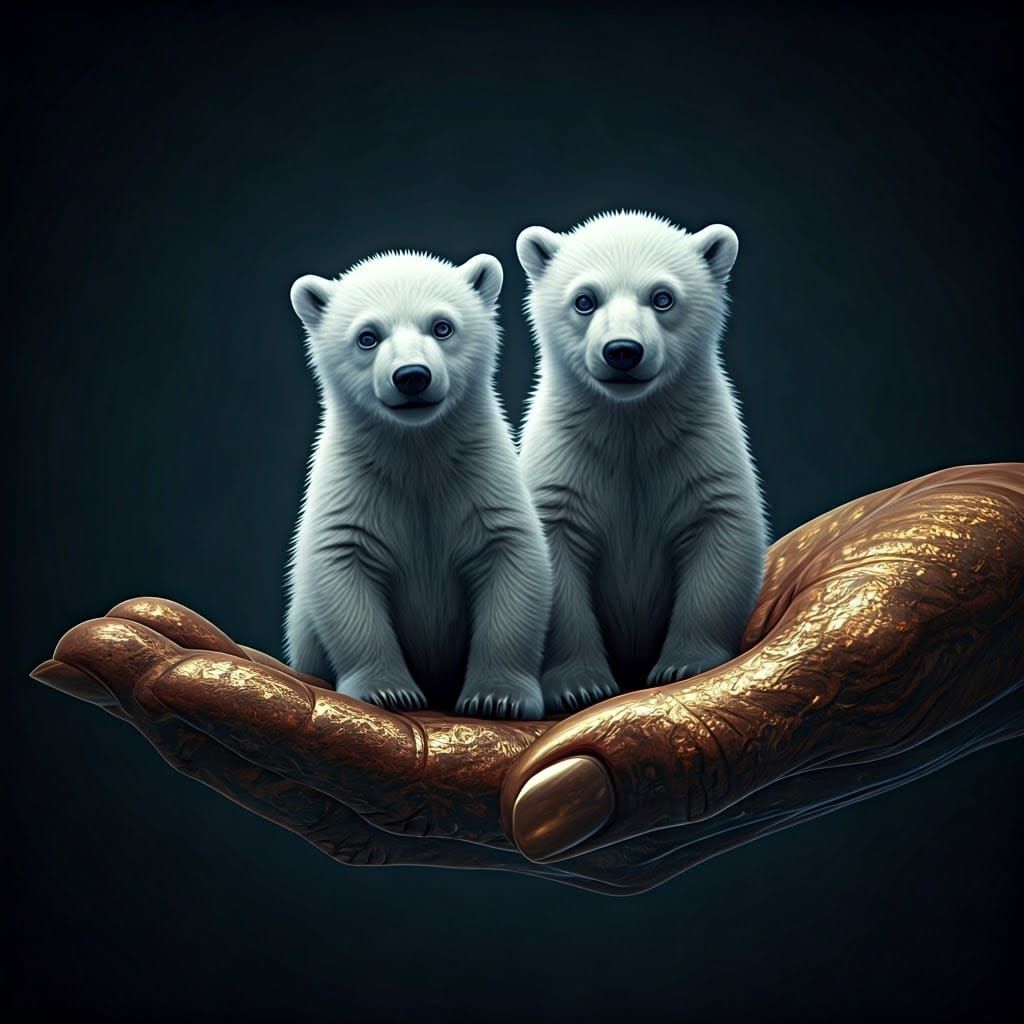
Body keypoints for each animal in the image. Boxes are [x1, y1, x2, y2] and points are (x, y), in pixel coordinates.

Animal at [285, 250, 551, 720]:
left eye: (442, 326)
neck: (416, 452)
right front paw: (387, 692)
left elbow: (511, 561)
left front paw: (498, 698)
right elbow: (344, 573)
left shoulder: (482, 482)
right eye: (368, 336)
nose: (411, 376)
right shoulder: (354, 488)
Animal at [516, 211, 768, 713]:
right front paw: (579, 685)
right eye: (585, 299)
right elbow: (556, 560)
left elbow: (720, 538)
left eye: (662, 297)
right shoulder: (565, 462)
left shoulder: (700, 452)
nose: (623, 351)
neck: (629, 423)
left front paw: (686, 666)